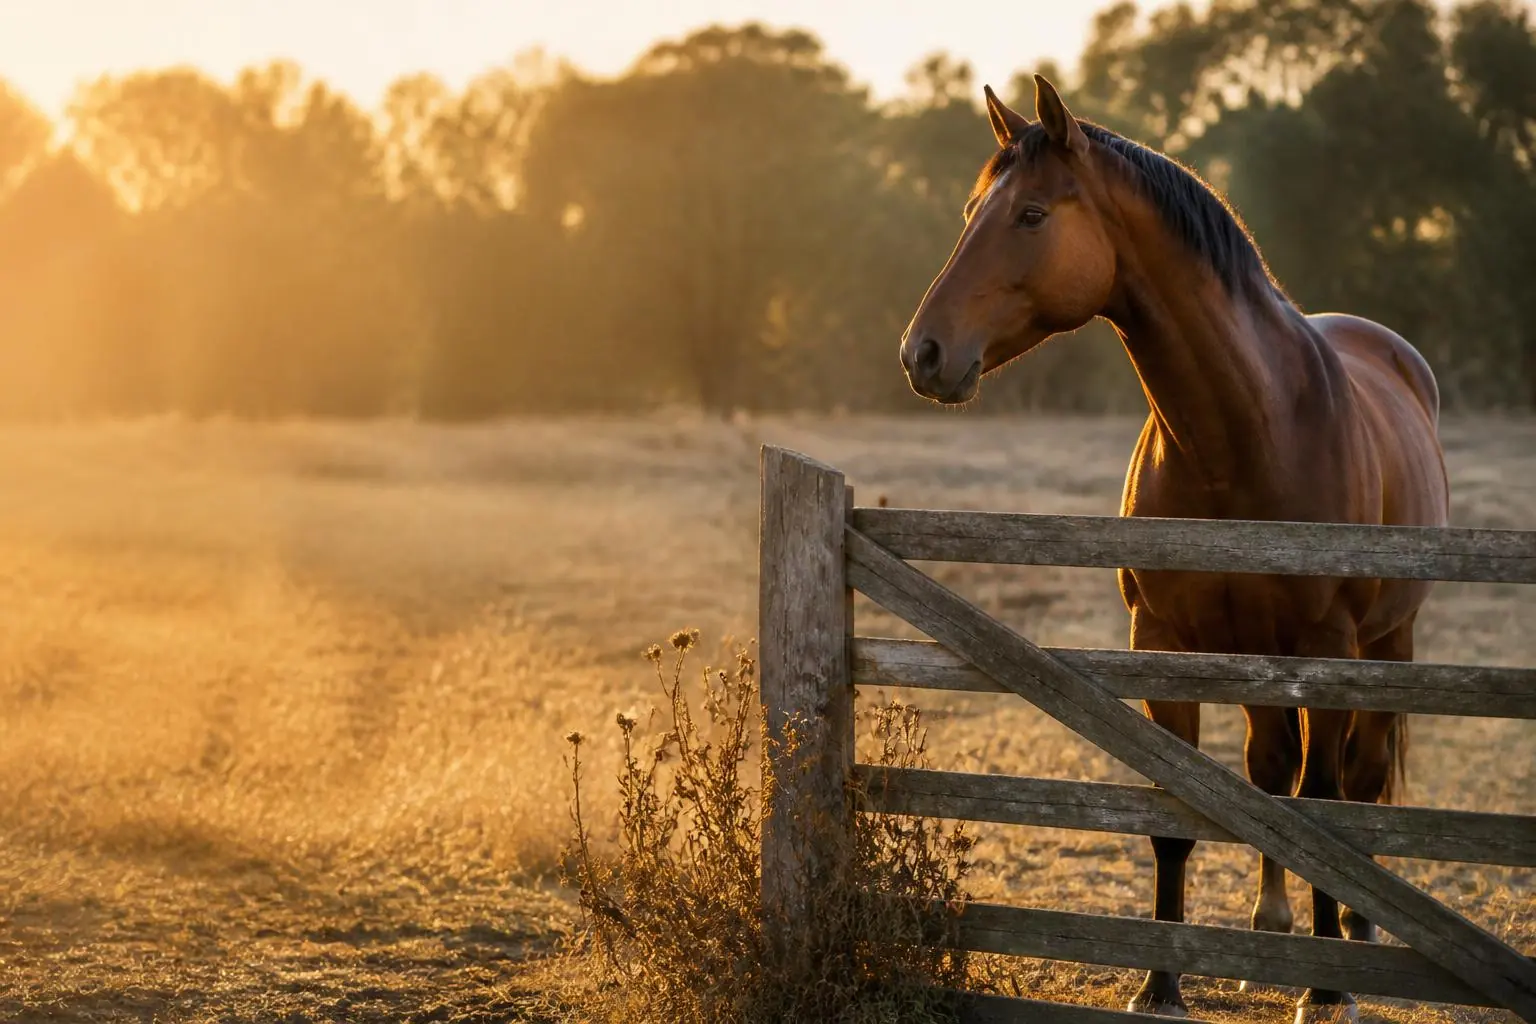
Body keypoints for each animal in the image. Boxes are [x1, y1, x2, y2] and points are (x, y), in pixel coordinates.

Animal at [898, 75, 1449, 1022]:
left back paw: (1356, 935)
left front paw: (1326, 987)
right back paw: (1268, 930)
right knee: (1269, 772)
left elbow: (1325, 803)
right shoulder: (1163, 642)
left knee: (1359, 779)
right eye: (974, 210)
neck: (1245, 434)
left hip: (1387, 645)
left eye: (1032, 215)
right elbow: (1178, 815)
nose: (922, 353)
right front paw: (1160, 985)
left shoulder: (1330, 649)